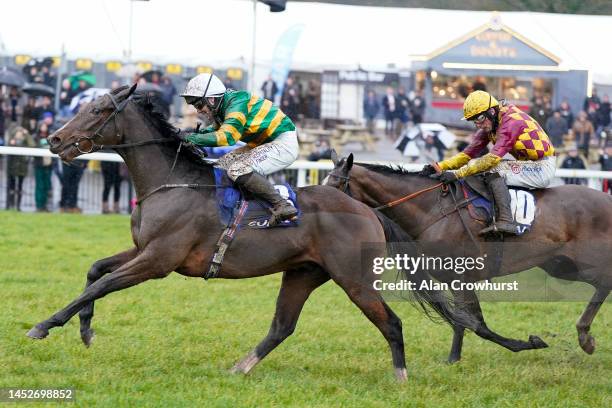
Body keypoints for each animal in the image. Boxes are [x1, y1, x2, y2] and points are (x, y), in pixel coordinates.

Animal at [25, 84, 474, 380]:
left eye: (99, 110)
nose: (55, 139)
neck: (170, 182)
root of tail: (366, 210)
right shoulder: (143, 250)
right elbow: (95, 271)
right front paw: (85, 329)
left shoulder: (158, 261)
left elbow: (101, 285)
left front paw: (44, 325)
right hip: (304, 273)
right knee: (282, 326)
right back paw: (241, 366)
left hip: (355, 279)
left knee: (391, 323)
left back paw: (401, 376)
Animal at [328, 153, 608, 364]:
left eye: (336, 186)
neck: (432, 210)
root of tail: (606, 198)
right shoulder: (453, 280)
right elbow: (461, 321)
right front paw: (454, 358)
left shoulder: (462, 277)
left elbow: (476, 323)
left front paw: (528, 343)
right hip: (561, 266)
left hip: (583, 263)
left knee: (605, 283)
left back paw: (585, 337)